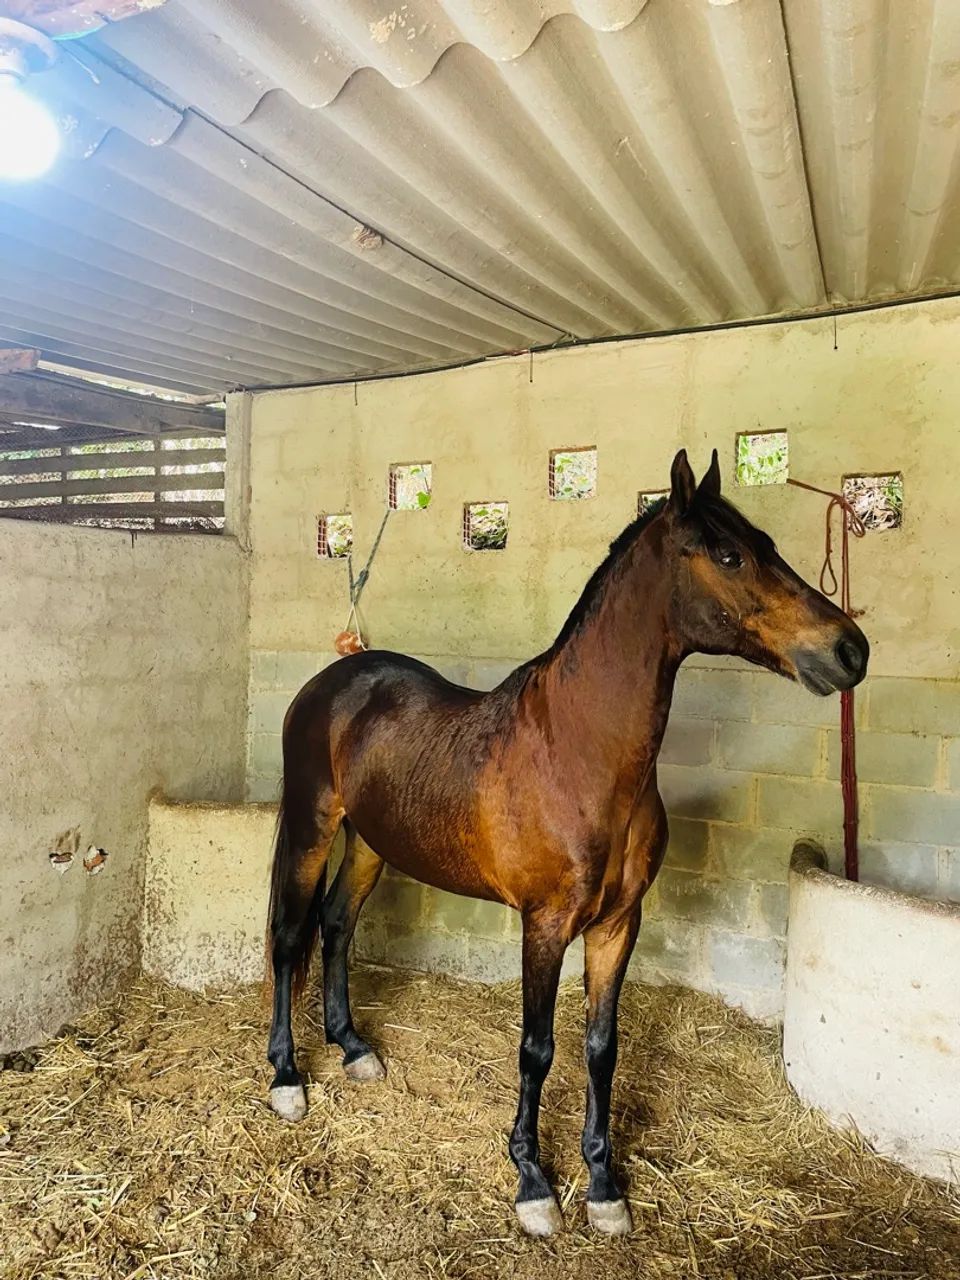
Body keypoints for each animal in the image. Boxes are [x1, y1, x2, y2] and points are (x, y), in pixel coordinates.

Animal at [265, 448, 869, 1238]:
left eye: (764, 542)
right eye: (731, 554)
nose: (850, 650)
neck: (580, 753)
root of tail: (334, 679)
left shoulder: (617, 924)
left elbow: (600, 1047)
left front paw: (604, 1184)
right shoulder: (546, 925)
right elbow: (538, 1047)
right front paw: (532, 1181)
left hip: (371, 841)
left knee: (337, 925)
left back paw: (355, 1049)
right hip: (312, 828)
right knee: (289, 939)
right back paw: (286, 1077)